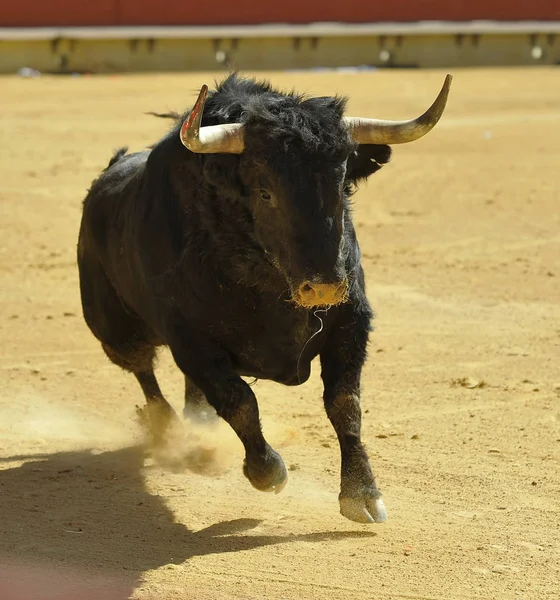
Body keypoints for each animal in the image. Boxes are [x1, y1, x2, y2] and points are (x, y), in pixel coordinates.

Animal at [77, 72, 450, 524]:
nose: (324, 287)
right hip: (113, 329)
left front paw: (362, 494)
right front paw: (266, 471)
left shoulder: (351, 322)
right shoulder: (191, 341)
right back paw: (169, 430)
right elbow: (240, 402)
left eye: (342, 187)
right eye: (265, 193)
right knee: (143, 372)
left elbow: (345, 404)